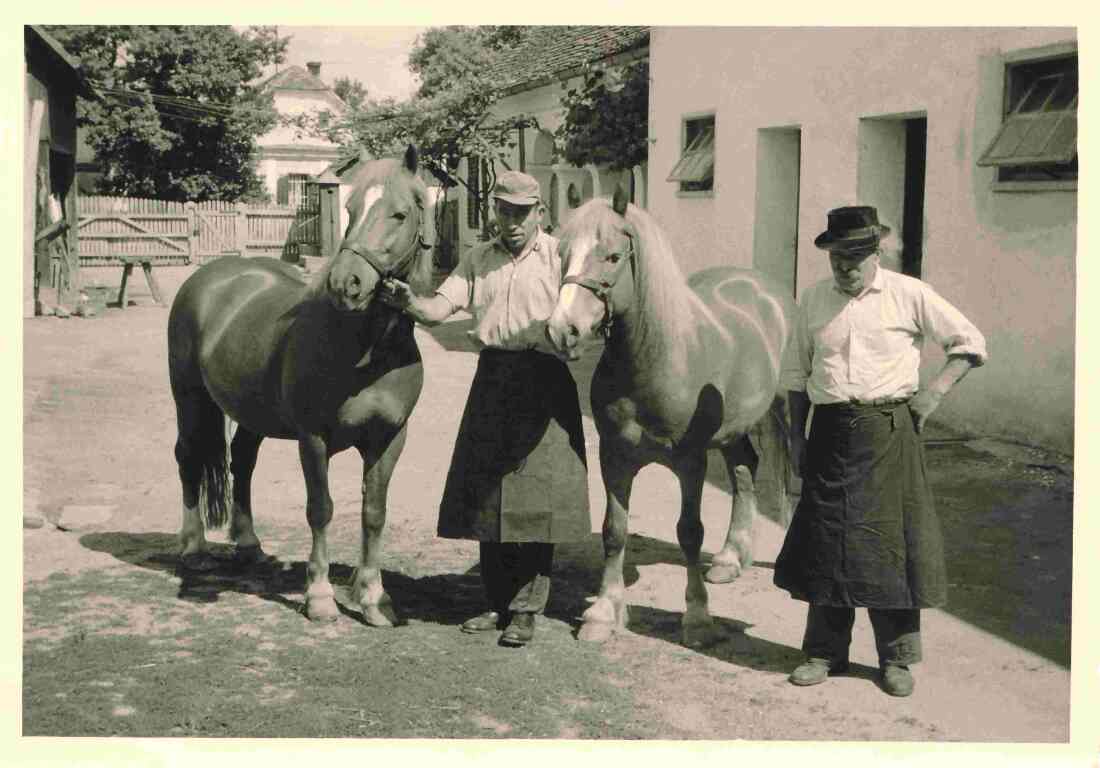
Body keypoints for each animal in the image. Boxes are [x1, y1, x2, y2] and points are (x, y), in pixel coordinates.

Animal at [167, 146, 433, 624]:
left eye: (400, 214)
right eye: (351, 209)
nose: (347, 283)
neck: (365, 351)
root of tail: (209, 277)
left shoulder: (389, 439)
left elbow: (373, 512)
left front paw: (373, 598)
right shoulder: (313, 439)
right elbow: (321, 509)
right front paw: (321, 597)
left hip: (250, 413)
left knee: (243, 461)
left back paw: (249, 544)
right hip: (189, 399)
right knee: (188, 457)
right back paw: (193, 546)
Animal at [545, 188, 796, 642]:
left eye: (612, 256)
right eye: (563, 255)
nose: (562, 330)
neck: (656, 360)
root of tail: (763, 288)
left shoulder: (690, 462)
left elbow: (689, 532)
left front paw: (697, 616)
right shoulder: (614, 457)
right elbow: (614, 530)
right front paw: (604, 612)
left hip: (786, 408)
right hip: (734, 428)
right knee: (744, 469)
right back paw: (731, 558)